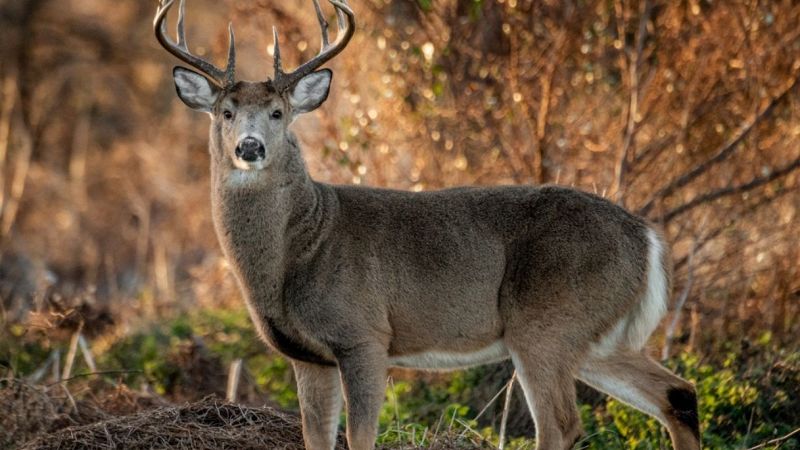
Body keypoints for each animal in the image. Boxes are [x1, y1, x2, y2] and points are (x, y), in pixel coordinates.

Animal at [153, 1, 696, 448]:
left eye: (278, 112)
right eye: (225, 112)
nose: (250, 147)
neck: (301, 248)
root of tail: (646, 236)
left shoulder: (365, 334)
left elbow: (362, 438)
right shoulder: (308, 356)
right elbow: (316, 439)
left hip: (548, 321)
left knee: (562, 425)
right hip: (597, 334)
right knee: (678, 394)